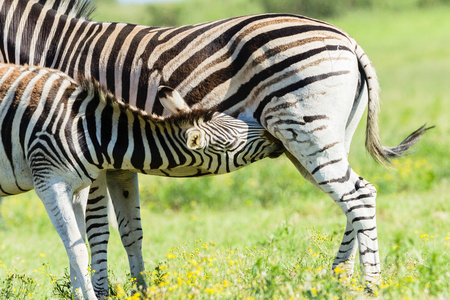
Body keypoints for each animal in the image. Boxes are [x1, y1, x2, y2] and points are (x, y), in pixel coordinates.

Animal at [0, 62, 284, 298]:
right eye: (231, 144)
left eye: (234, 119)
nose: (275, 137)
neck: (88, 130)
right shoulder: (50, 182)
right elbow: (78, 251)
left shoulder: (78, 187)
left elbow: (76, 247)